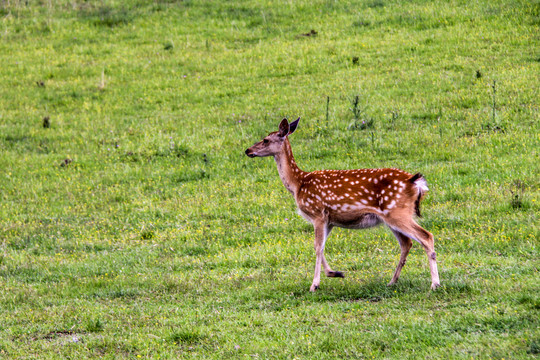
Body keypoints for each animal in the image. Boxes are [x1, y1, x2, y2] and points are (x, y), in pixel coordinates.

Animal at [247, 116, 440, 292]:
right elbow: (321, 246)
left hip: (397, 211)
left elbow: (317, 247)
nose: (247, 150)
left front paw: (314, 285)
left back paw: (434, 284)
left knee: (426, 236)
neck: (298, 184)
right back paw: (392, 281)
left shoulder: (317, 213)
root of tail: (415, 182)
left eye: (265, 139)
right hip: (390, 217)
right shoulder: (329, 219)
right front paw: (334, 273)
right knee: (407, 243)